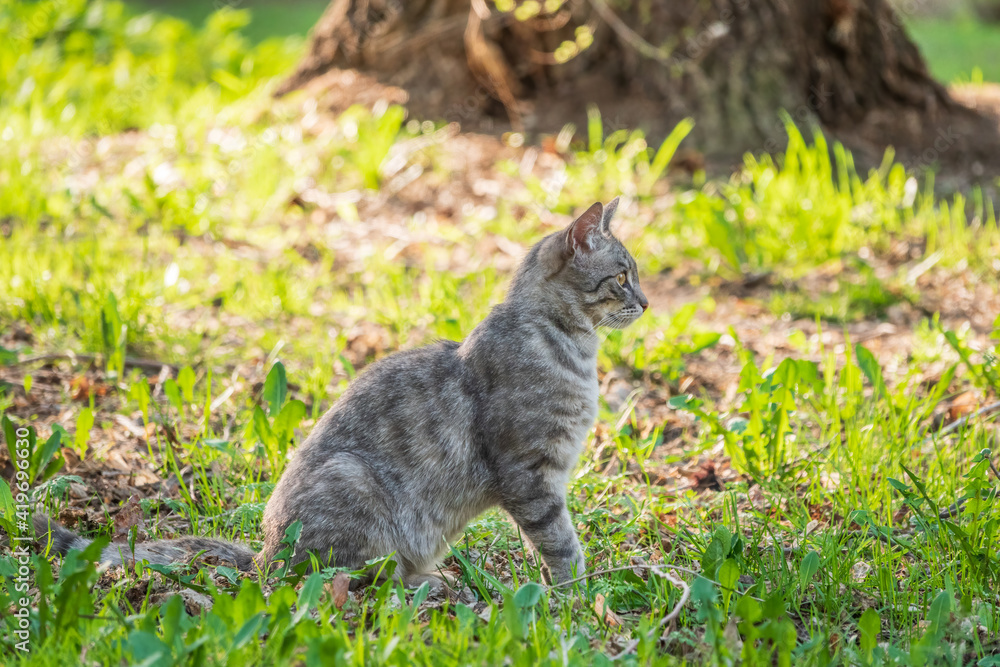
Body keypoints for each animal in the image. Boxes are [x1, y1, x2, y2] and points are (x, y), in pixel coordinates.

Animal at [35, 198, 648, 588]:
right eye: (622, 276)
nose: (645, 301)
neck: (569, 346)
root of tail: (263, 558)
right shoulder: (530, 475)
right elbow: (562, 543)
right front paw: (578, 597)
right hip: (354, 488)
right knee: (351, 579)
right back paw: (435, 588)